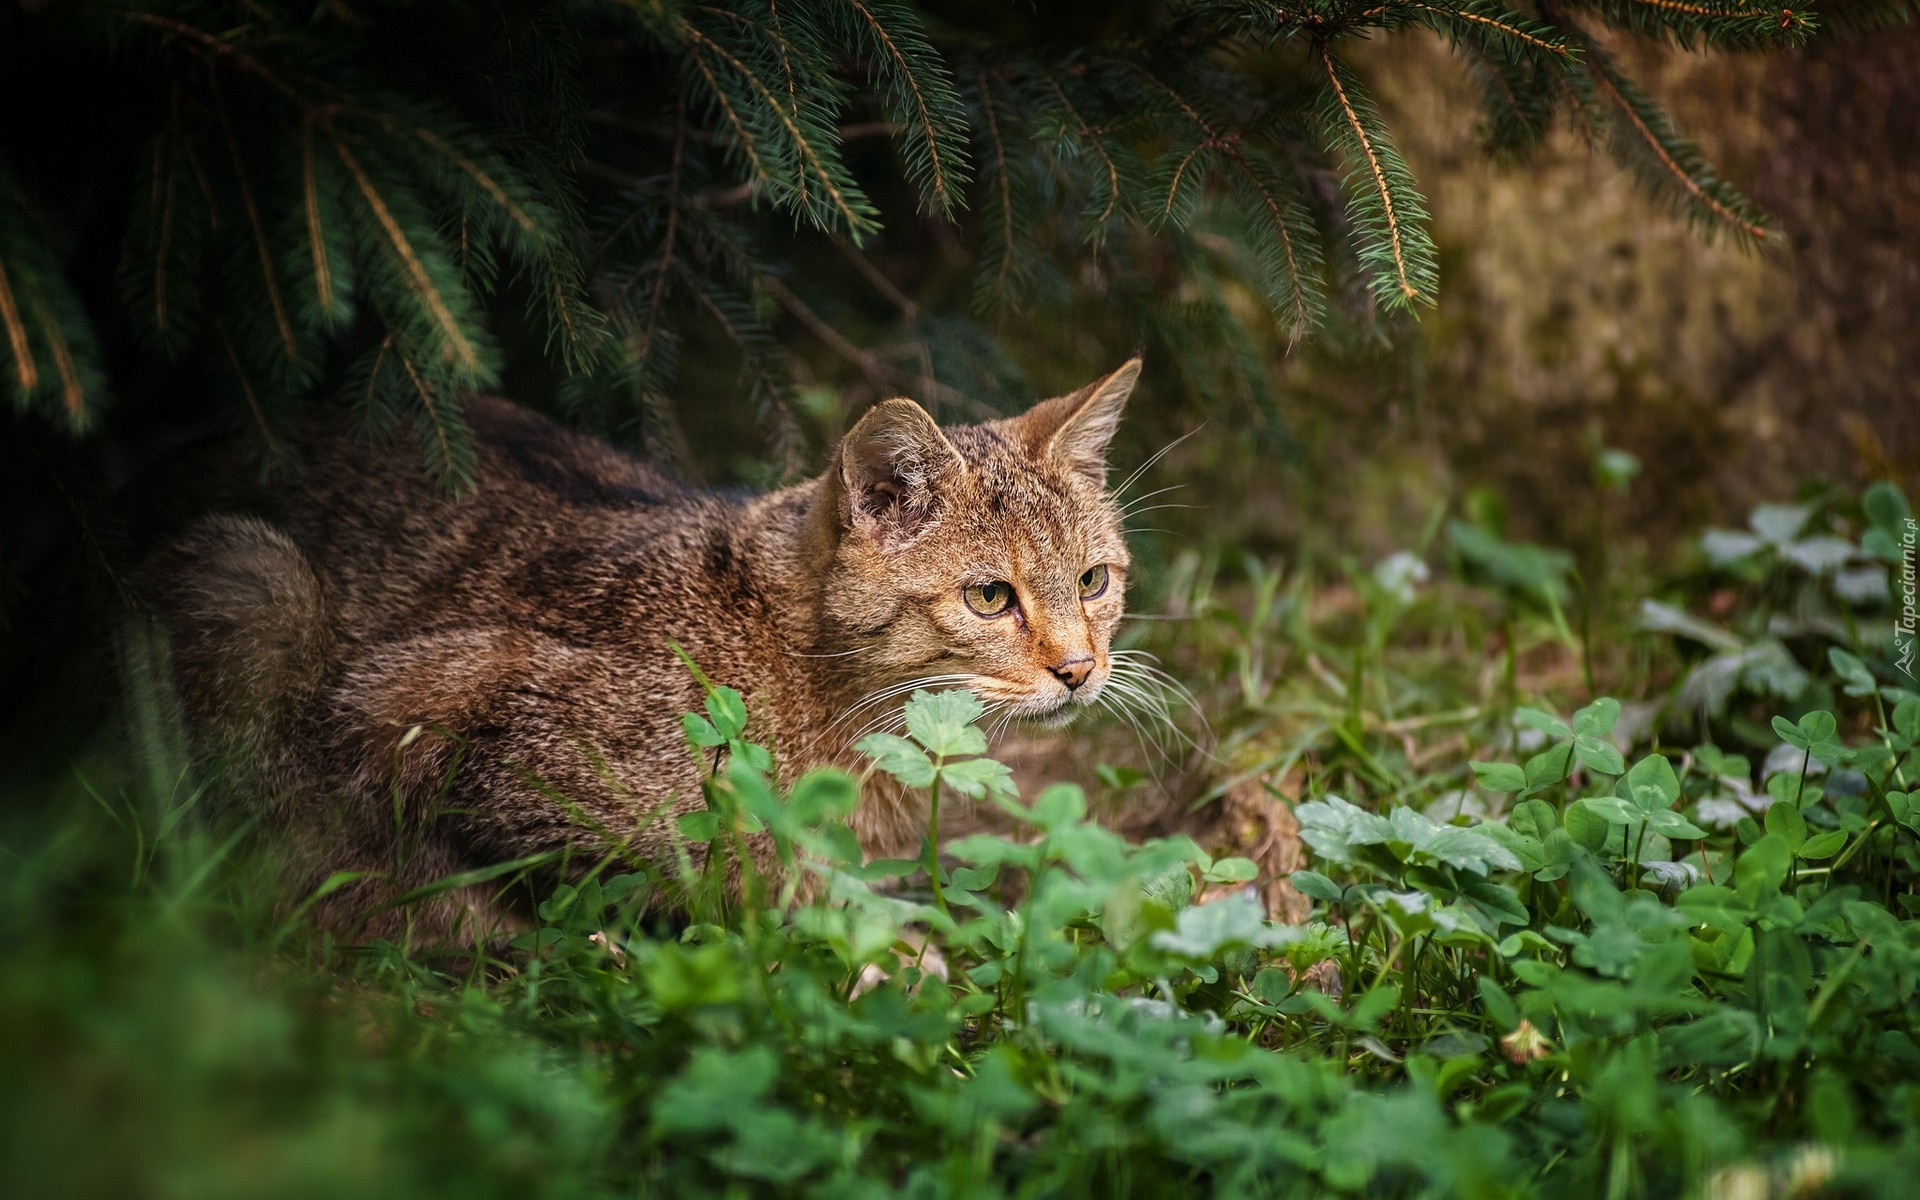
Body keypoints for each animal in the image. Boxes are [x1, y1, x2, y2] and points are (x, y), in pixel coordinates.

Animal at [149, 360, 1152, 940]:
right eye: (990, 597)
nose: (1079, 668)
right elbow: (690, 885)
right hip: (254, 579)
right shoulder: (433, 706)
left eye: (1093, 580)